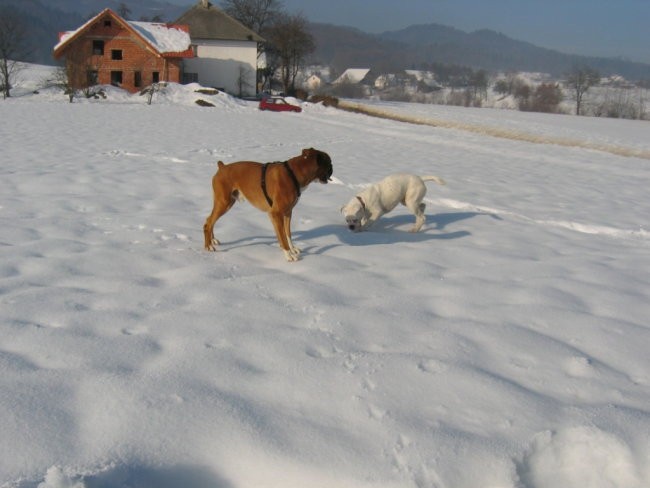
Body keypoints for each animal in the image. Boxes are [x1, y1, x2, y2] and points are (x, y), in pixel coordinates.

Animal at [202, 148, 332, 262]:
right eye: (329, 163)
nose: (332, 169)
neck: (293, 174)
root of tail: (222, 167)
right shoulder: (276, 214)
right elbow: (283, 236)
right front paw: (288, 255)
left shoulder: (287, 213)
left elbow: (287, 234)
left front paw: (292, 249)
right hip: (224, 203)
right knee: (208, 223)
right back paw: (208, 246)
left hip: (225, 203)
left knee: (210, 220)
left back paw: (213, 240)